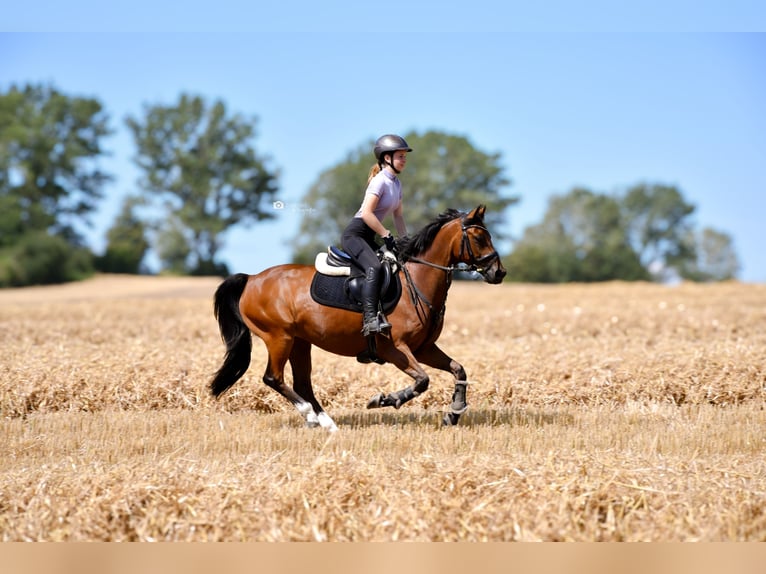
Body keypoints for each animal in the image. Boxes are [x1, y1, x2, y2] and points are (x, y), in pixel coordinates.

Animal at [213, 205, 508, 430]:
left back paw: (326, 423)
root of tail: (252, 279)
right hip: (278, 337)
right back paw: (310, 416)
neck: (417, 281)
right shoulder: (395, 349)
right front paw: (385, 400)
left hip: (299, 342)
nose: (499, 272)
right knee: (273, 378)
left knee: (302, 382)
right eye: (479, 239)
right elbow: (422, 380)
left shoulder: (423, 348)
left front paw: (454, 413)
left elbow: (458, 369)